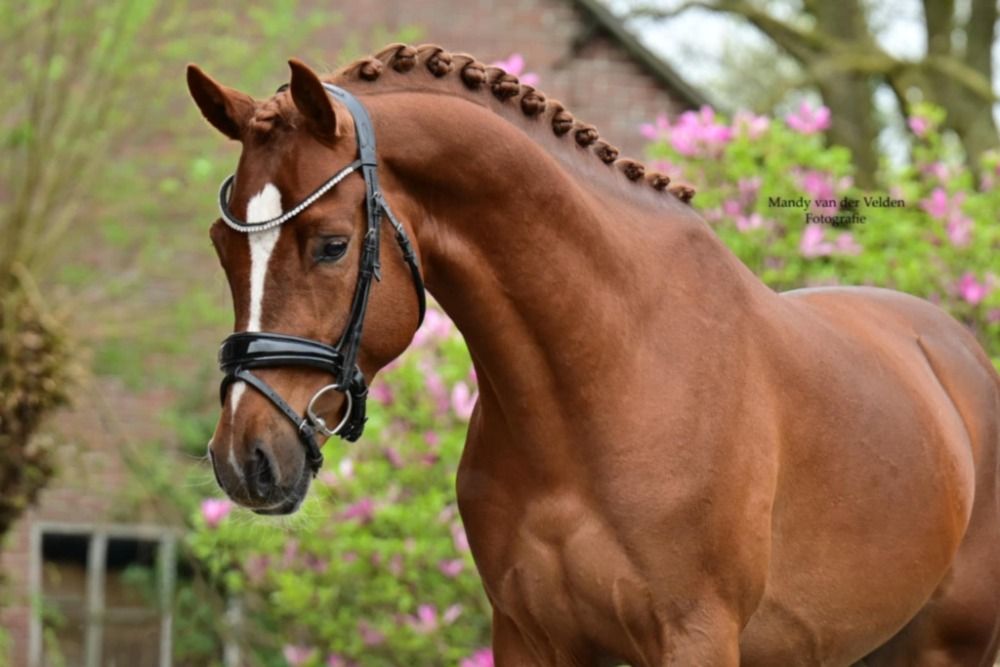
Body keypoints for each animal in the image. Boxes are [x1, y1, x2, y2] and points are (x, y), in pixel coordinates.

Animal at [188, 43, 1000, 666]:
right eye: (223, 246)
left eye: (331, 245)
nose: (243, 459)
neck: (607, 379)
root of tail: (956, 349)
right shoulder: (528, 636)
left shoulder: (696, 637)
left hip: (949, 645)